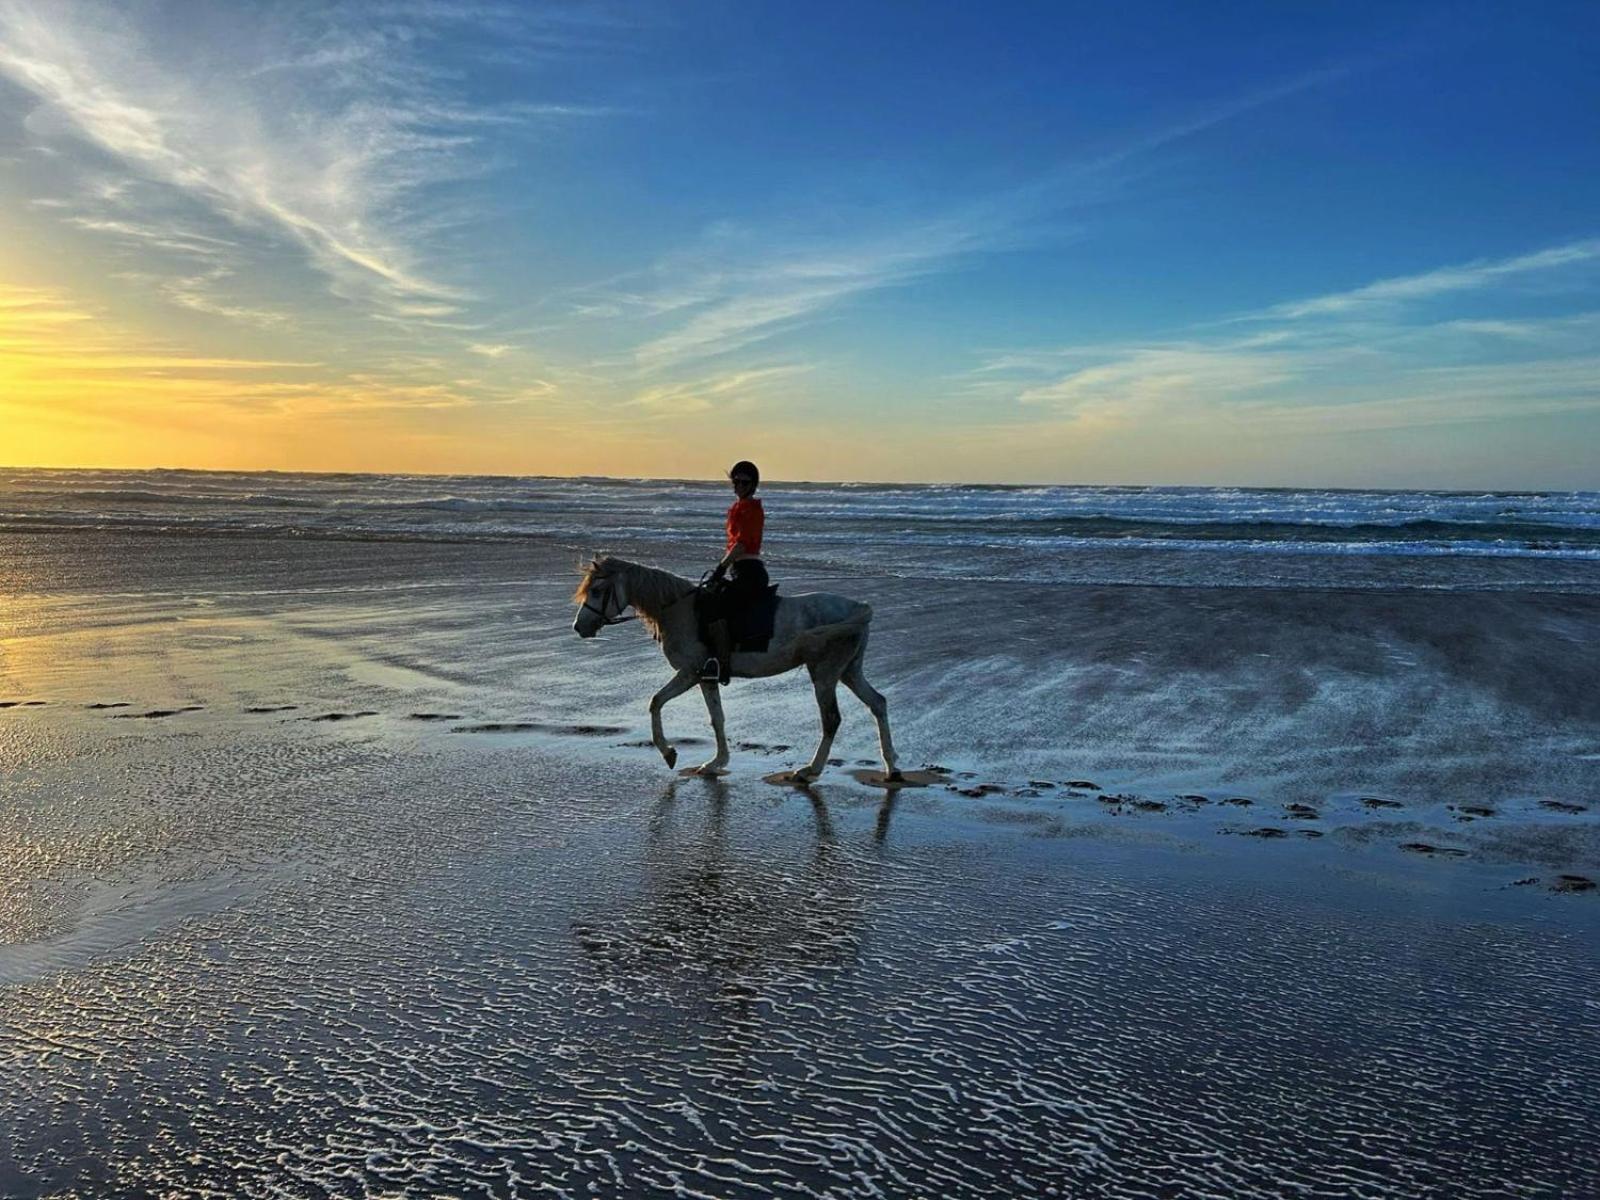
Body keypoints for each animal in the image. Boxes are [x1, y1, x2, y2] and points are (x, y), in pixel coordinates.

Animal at [572, 560, 902, 784]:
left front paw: (669, 753)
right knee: (878, 703)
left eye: (598, 590)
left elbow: (656, 702)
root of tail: (858, 607)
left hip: (824, 673)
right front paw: (716, 762)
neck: (679, 610)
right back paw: (892, 768)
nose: (579, 627)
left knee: (832, 718)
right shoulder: (706, 677)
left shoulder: (690, 673)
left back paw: (810, 770)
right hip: (849, 671)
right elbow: (716, 717)